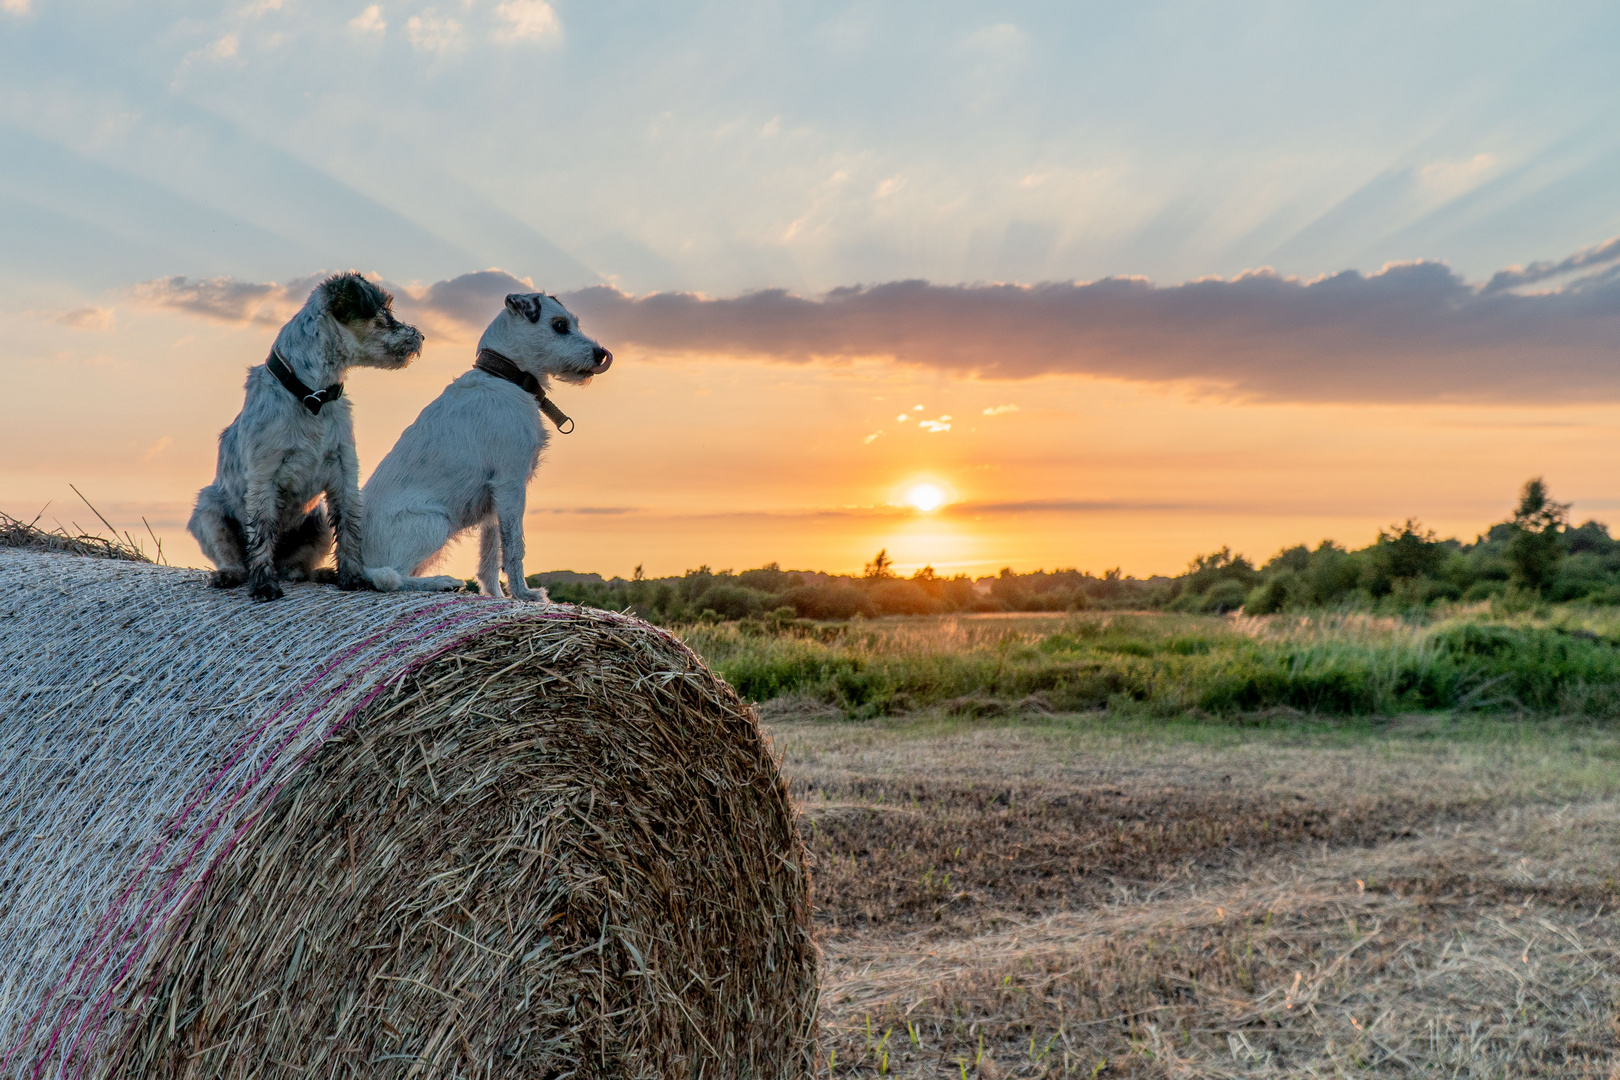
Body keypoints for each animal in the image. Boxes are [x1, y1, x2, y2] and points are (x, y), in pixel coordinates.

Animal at [187, 275, 427, 605]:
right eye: (384, 313)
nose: (421, 336)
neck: (313, 396)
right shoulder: (263, 477)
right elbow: (261, 530)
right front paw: (264, 586)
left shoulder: (344, 473)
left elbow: (350, 527)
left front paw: (353, 577)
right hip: (208, 512)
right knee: (236, 559)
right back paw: (231, 574)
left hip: (318, 522)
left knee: (297, 568)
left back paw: (319, 573)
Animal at [362, 293, 612, 599]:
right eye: (559, 325)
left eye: (574, 323)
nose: (600, 353)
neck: (505, 376)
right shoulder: (510, 484)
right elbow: (514, 547)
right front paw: (524, 594)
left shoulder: (494, 500)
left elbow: (490, 555)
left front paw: (496, 595)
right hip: (435, 522)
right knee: (388, 577)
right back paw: (440, 582)